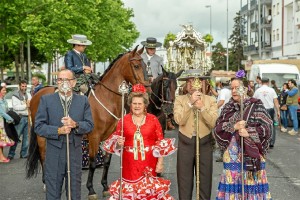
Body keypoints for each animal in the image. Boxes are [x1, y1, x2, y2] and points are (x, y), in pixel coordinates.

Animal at [25, 46, 148, 199]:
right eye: (136, 65)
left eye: (145, 65)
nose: (146, 87)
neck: (106, 97)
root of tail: (38, 92)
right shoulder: (94, 137)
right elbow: (93, 162)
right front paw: (91, 190)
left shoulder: (110, 136)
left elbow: (106, 162)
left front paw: (105, 187)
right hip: (41, 136)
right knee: (43, 157)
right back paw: (46, 183)